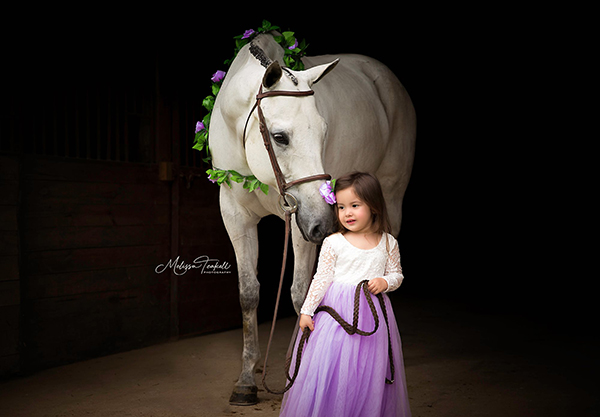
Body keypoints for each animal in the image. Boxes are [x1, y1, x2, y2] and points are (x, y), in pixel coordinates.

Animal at [209, 34, 414, 404]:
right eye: (280, 137)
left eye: (324, 131)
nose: (323, 224)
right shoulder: (234, 214)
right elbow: (248, 293)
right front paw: (246, 379)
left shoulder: (299, 221)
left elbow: (301, 293)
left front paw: (298, 368)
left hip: (391, 195)